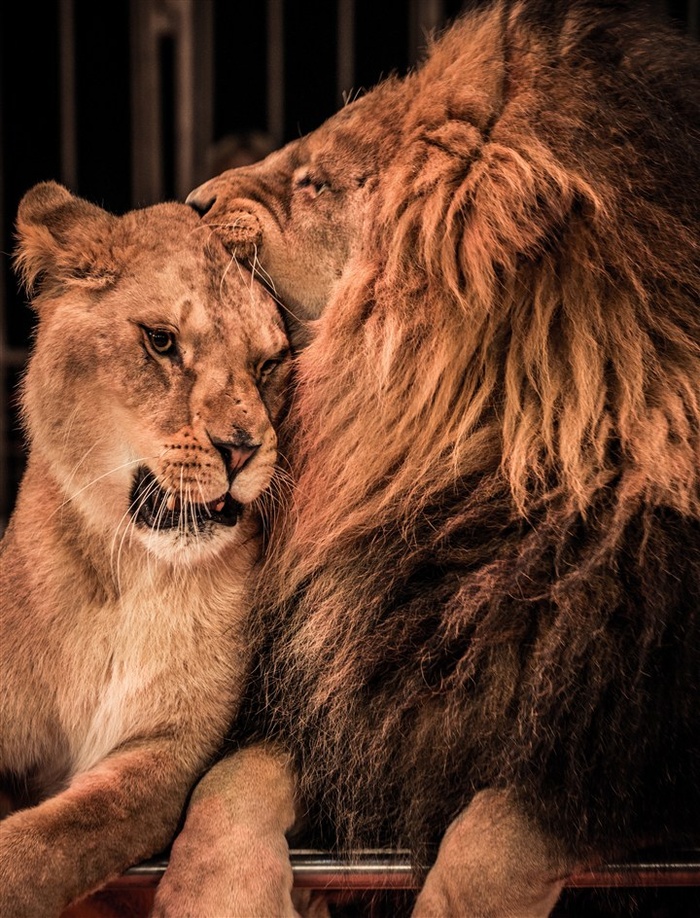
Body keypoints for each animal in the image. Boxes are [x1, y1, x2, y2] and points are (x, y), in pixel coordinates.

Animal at [0, 181, 290, 918]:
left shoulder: (170, 754)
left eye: (268, 364)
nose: (242, 448)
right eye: (162, 342)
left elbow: (57, 838)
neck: (126, 573)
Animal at [160, 1, 700, 918]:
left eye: (315, 183)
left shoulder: (616, 744)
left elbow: (501, 832)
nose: (193, 204)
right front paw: (212, 897)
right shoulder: (348, 698)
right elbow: (228, 782)